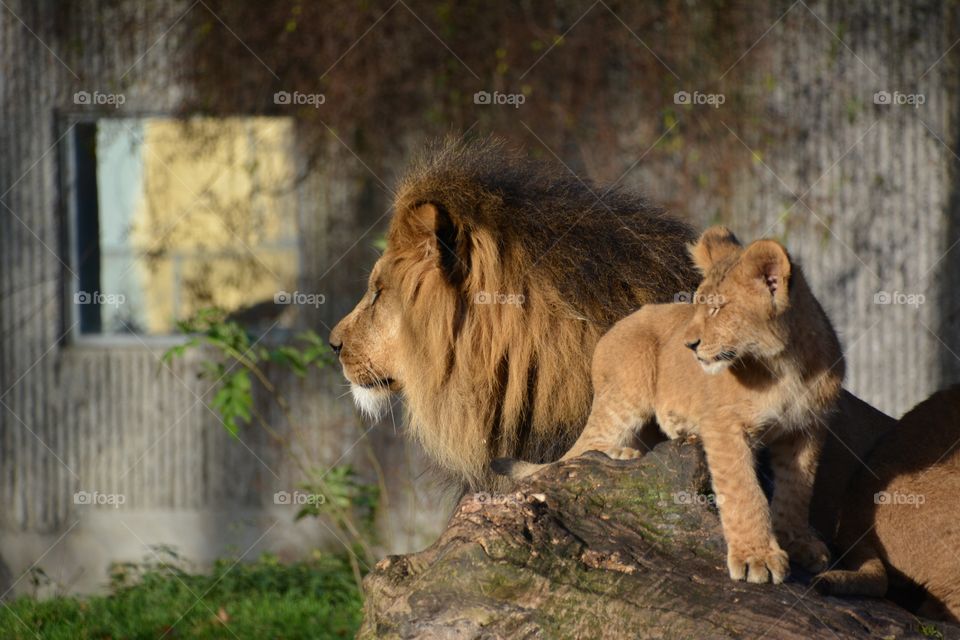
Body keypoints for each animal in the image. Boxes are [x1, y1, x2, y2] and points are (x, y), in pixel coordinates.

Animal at [496, 226, 840, 584]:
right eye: (698, 306)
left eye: (717, 309)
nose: (689, 345)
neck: (785, 366)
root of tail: (610, 331)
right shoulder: (724, 425)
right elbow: (744, 492)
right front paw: (756, 558)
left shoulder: (808, 430)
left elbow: (797, 490)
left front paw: (797, 542)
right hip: (628, 390)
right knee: (581, 451)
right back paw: (620, 454)